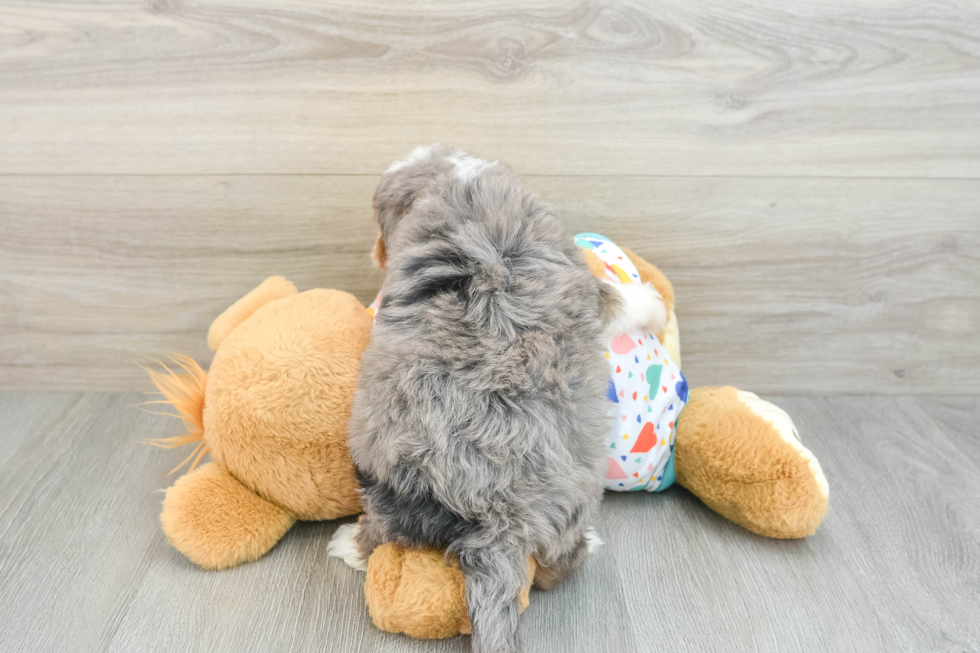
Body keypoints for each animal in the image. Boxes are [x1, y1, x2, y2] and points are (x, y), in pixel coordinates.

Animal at [332, 146, 668, 652]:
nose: (376, 252)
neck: (453, 178)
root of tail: (497, 516)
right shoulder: (586, 283)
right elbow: (621, 300)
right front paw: (654, 304)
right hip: (562, 501)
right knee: (552, 567)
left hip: (397, 483)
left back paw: (347, 544)